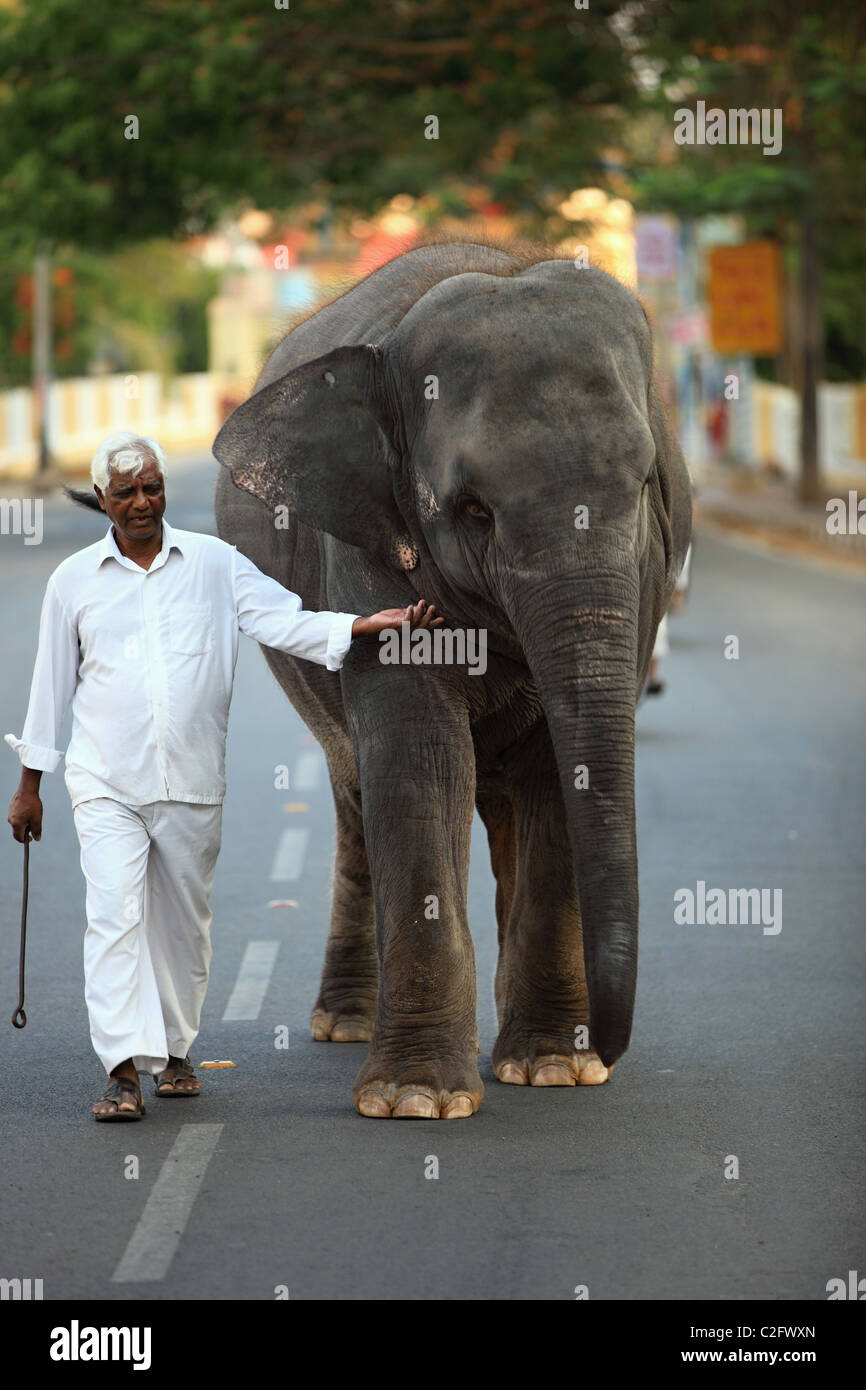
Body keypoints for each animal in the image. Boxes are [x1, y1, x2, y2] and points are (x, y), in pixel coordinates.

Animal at [212, 238, 692, 1119]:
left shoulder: (651, 576)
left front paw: (554, 1068)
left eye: (646, 485)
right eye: (472, 510)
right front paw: (415, 1099)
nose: (608, 1047)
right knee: (357, 792)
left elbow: (558, 771)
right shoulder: (367, 547)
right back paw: (348, 1026)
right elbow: (420, 760)